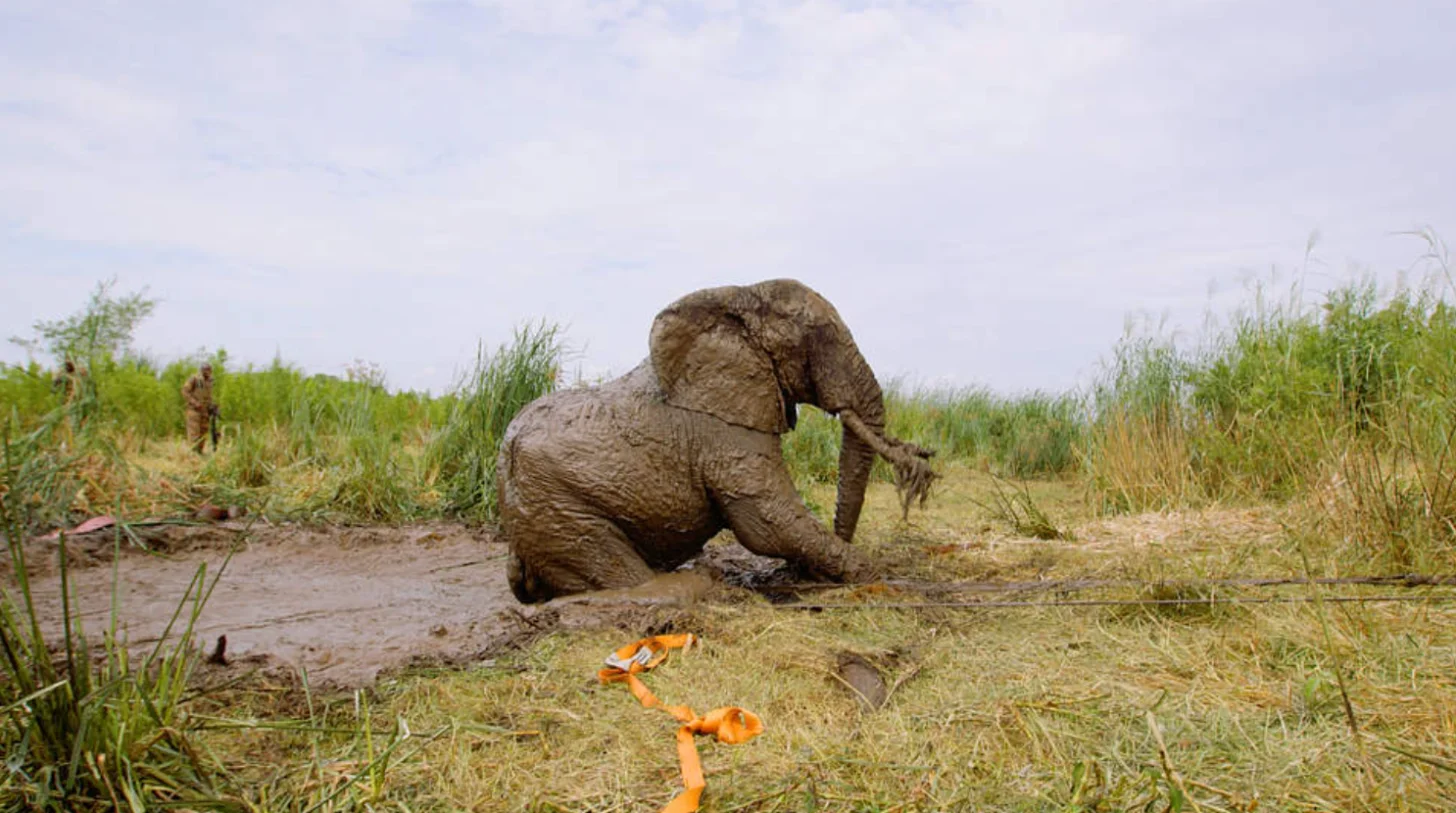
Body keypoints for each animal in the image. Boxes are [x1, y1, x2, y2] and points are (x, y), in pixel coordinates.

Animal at [497, 279, 935, 604]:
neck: (738, 295)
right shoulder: (721, 428)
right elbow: (764, 523)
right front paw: (877, 575)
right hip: (557, 510)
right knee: (617, 567)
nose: (921, 457)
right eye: (822, 335)